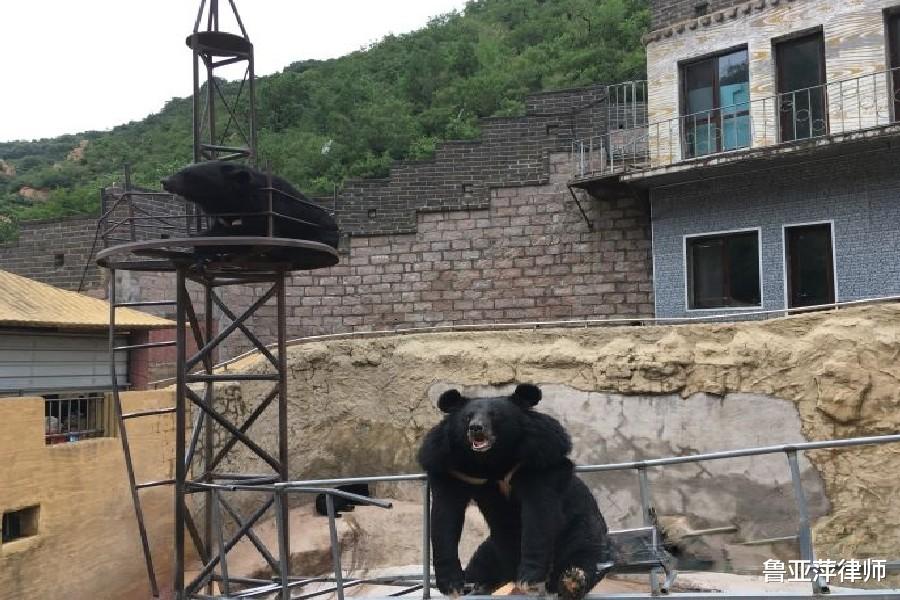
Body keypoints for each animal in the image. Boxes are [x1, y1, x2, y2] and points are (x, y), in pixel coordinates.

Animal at [161, 161, 339, 249]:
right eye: (181, 171)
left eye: (187, 175)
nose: (165, 181)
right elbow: (220, 225)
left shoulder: (267, 208)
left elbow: (256, 229)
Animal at [417, 384, 611, 600]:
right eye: (467, 417)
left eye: (495, 415)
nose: (476, 428)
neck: (490, 461)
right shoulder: (451, 467)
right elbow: (445, 517)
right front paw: (452, 585)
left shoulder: (537, 459)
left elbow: (538, 516)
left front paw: (529, 578)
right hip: (492, 548)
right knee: (480, 566)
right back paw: (477, 585)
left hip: (581, 529)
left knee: (582, 554)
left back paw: (571, 580)